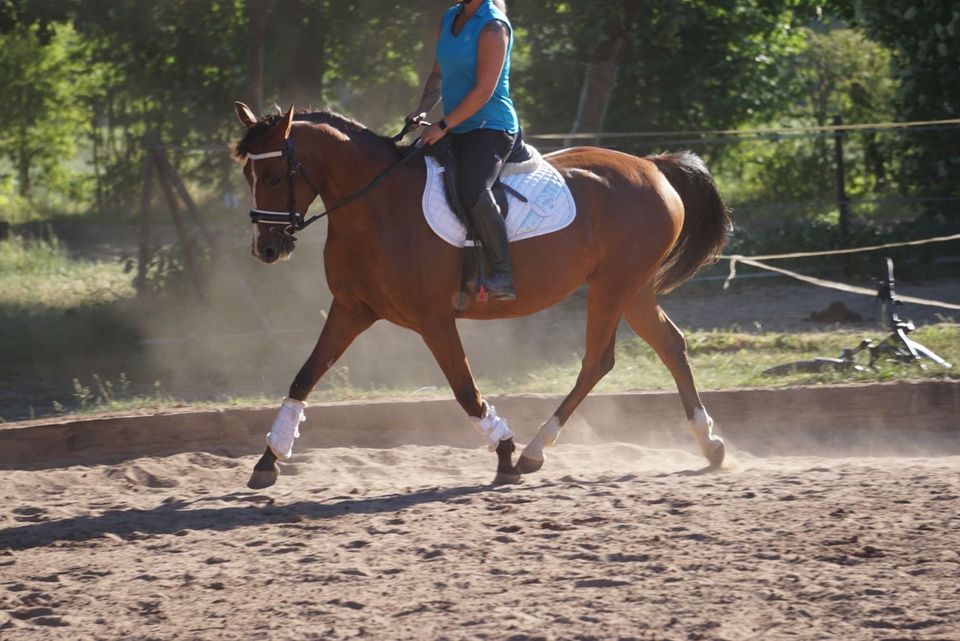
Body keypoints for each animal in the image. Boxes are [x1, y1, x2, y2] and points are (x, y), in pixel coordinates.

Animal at [236, 102, 732, 488]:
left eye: (276, 175)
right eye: (247, 174)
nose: (265, 248)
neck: (376, 208)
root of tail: (652, 165)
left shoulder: (433, 320)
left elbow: (465, 390)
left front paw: (506, 454)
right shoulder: (351, 309)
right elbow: (304, 376)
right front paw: (268, 459)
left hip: (613, 286)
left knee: (599, 360)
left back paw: (534, 450)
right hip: (634, 288)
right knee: (669, 345)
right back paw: (709, 444)